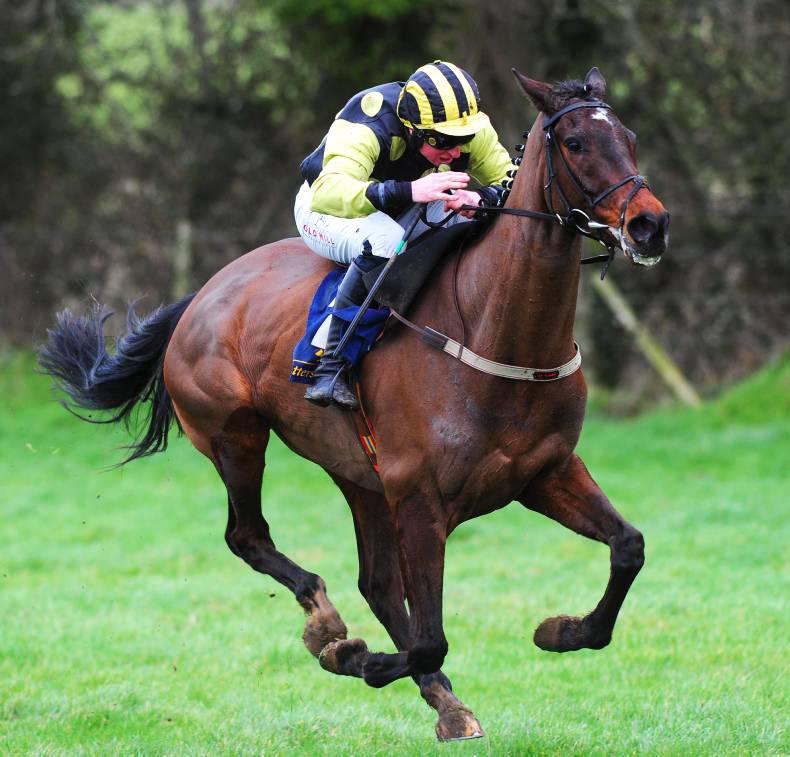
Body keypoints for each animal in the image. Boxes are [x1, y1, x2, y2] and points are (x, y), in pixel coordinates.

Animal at [39, 67, 669, 741]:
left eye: (630, 138)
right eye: (575, 143)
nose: (649, 226)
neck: (493, 327)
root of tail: (202, 294)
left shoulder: (545, 472)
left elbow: (629, 548)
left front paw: (561, 631)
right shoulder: (420, 499)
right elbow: (429, 638)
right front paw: (353, 657)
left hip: (359, 475)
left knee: (377, 584)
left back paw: (444, 703)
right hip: (236, 436)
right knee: (249, 537)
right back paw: (327, 624)